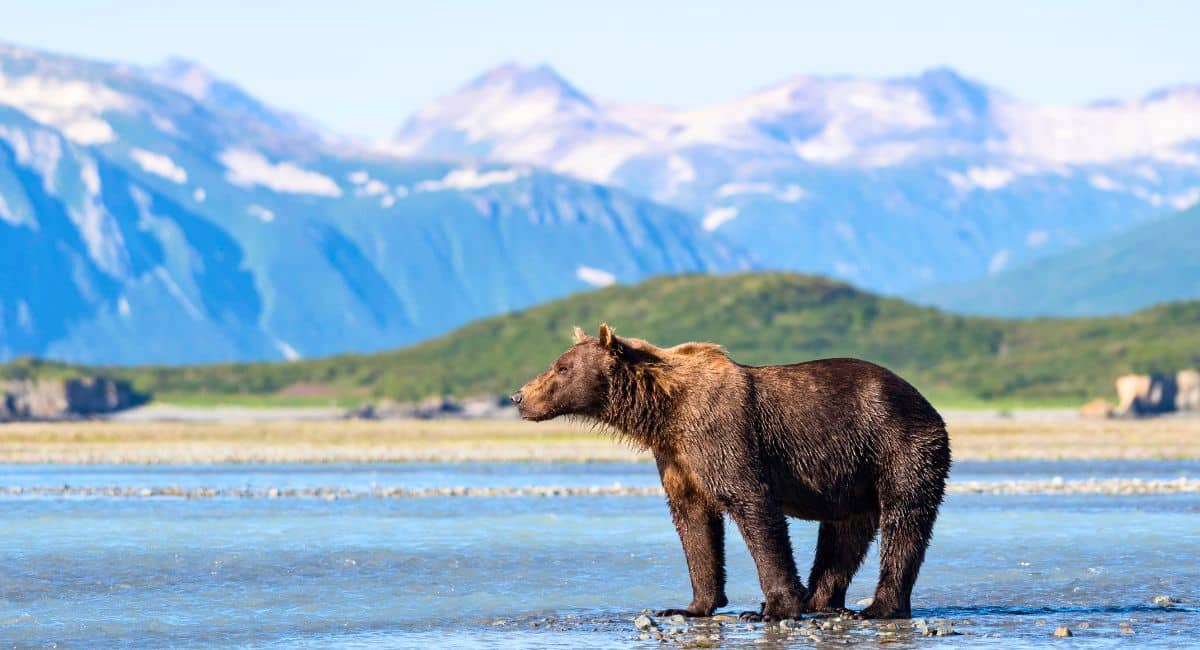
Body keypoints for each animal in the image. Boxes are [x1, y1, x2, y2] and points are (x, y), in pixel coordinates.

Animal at [511, 326, 950, 623]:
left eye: (561, 367)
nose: (518, 396)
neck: (665, 411)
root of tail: (927, 403)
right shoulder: (678, 457)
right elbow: (694, 523)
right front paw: (690, 606)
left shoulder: (721, 434)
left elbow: (751, 503)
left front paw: (773, 608)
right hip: (854, 476)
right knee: (844, 535)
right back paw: (821, 601)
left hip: (898, 444)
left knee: (903, 521)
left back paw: (877, 607)